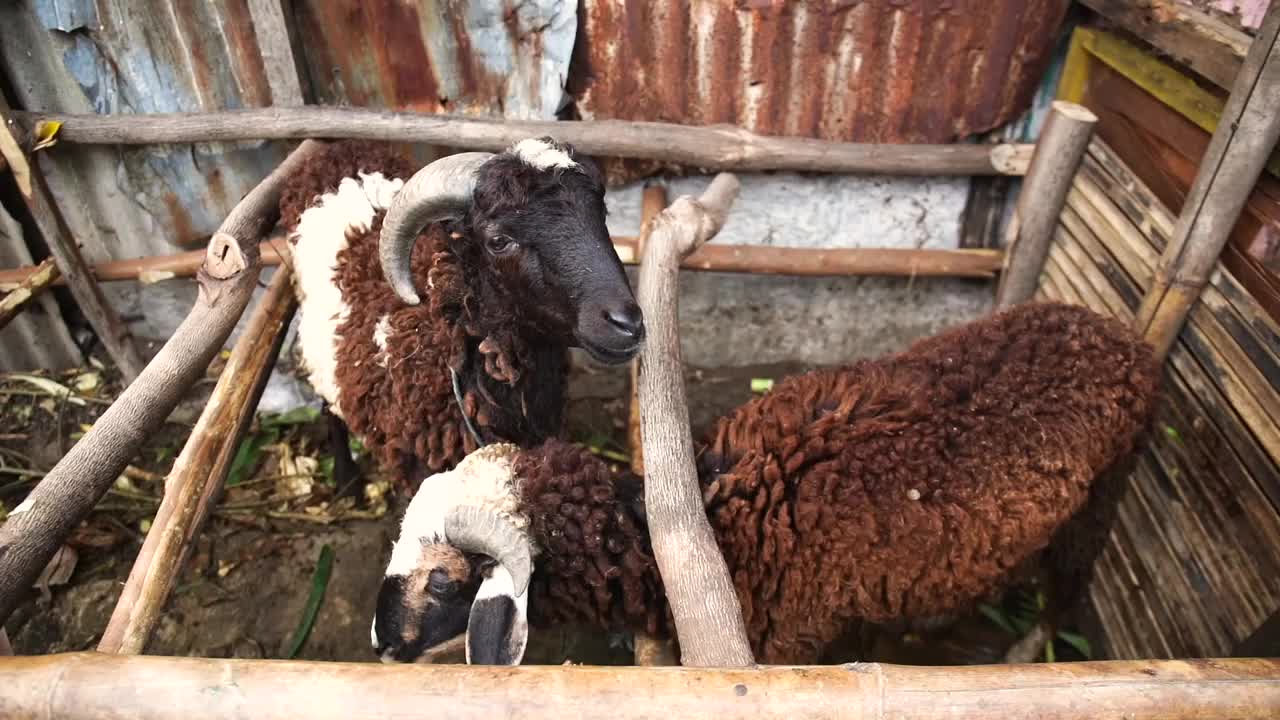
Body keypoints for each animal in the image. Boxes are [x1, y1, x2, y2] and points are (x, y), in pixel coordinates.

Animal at [368, 297, 1162, 661]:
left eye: (446, 582)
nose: (381, 641)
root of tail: (1120, 333)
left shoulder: (787, 643)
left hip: (1102, 499)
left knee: (1069, 588)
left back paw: (1029, 645)